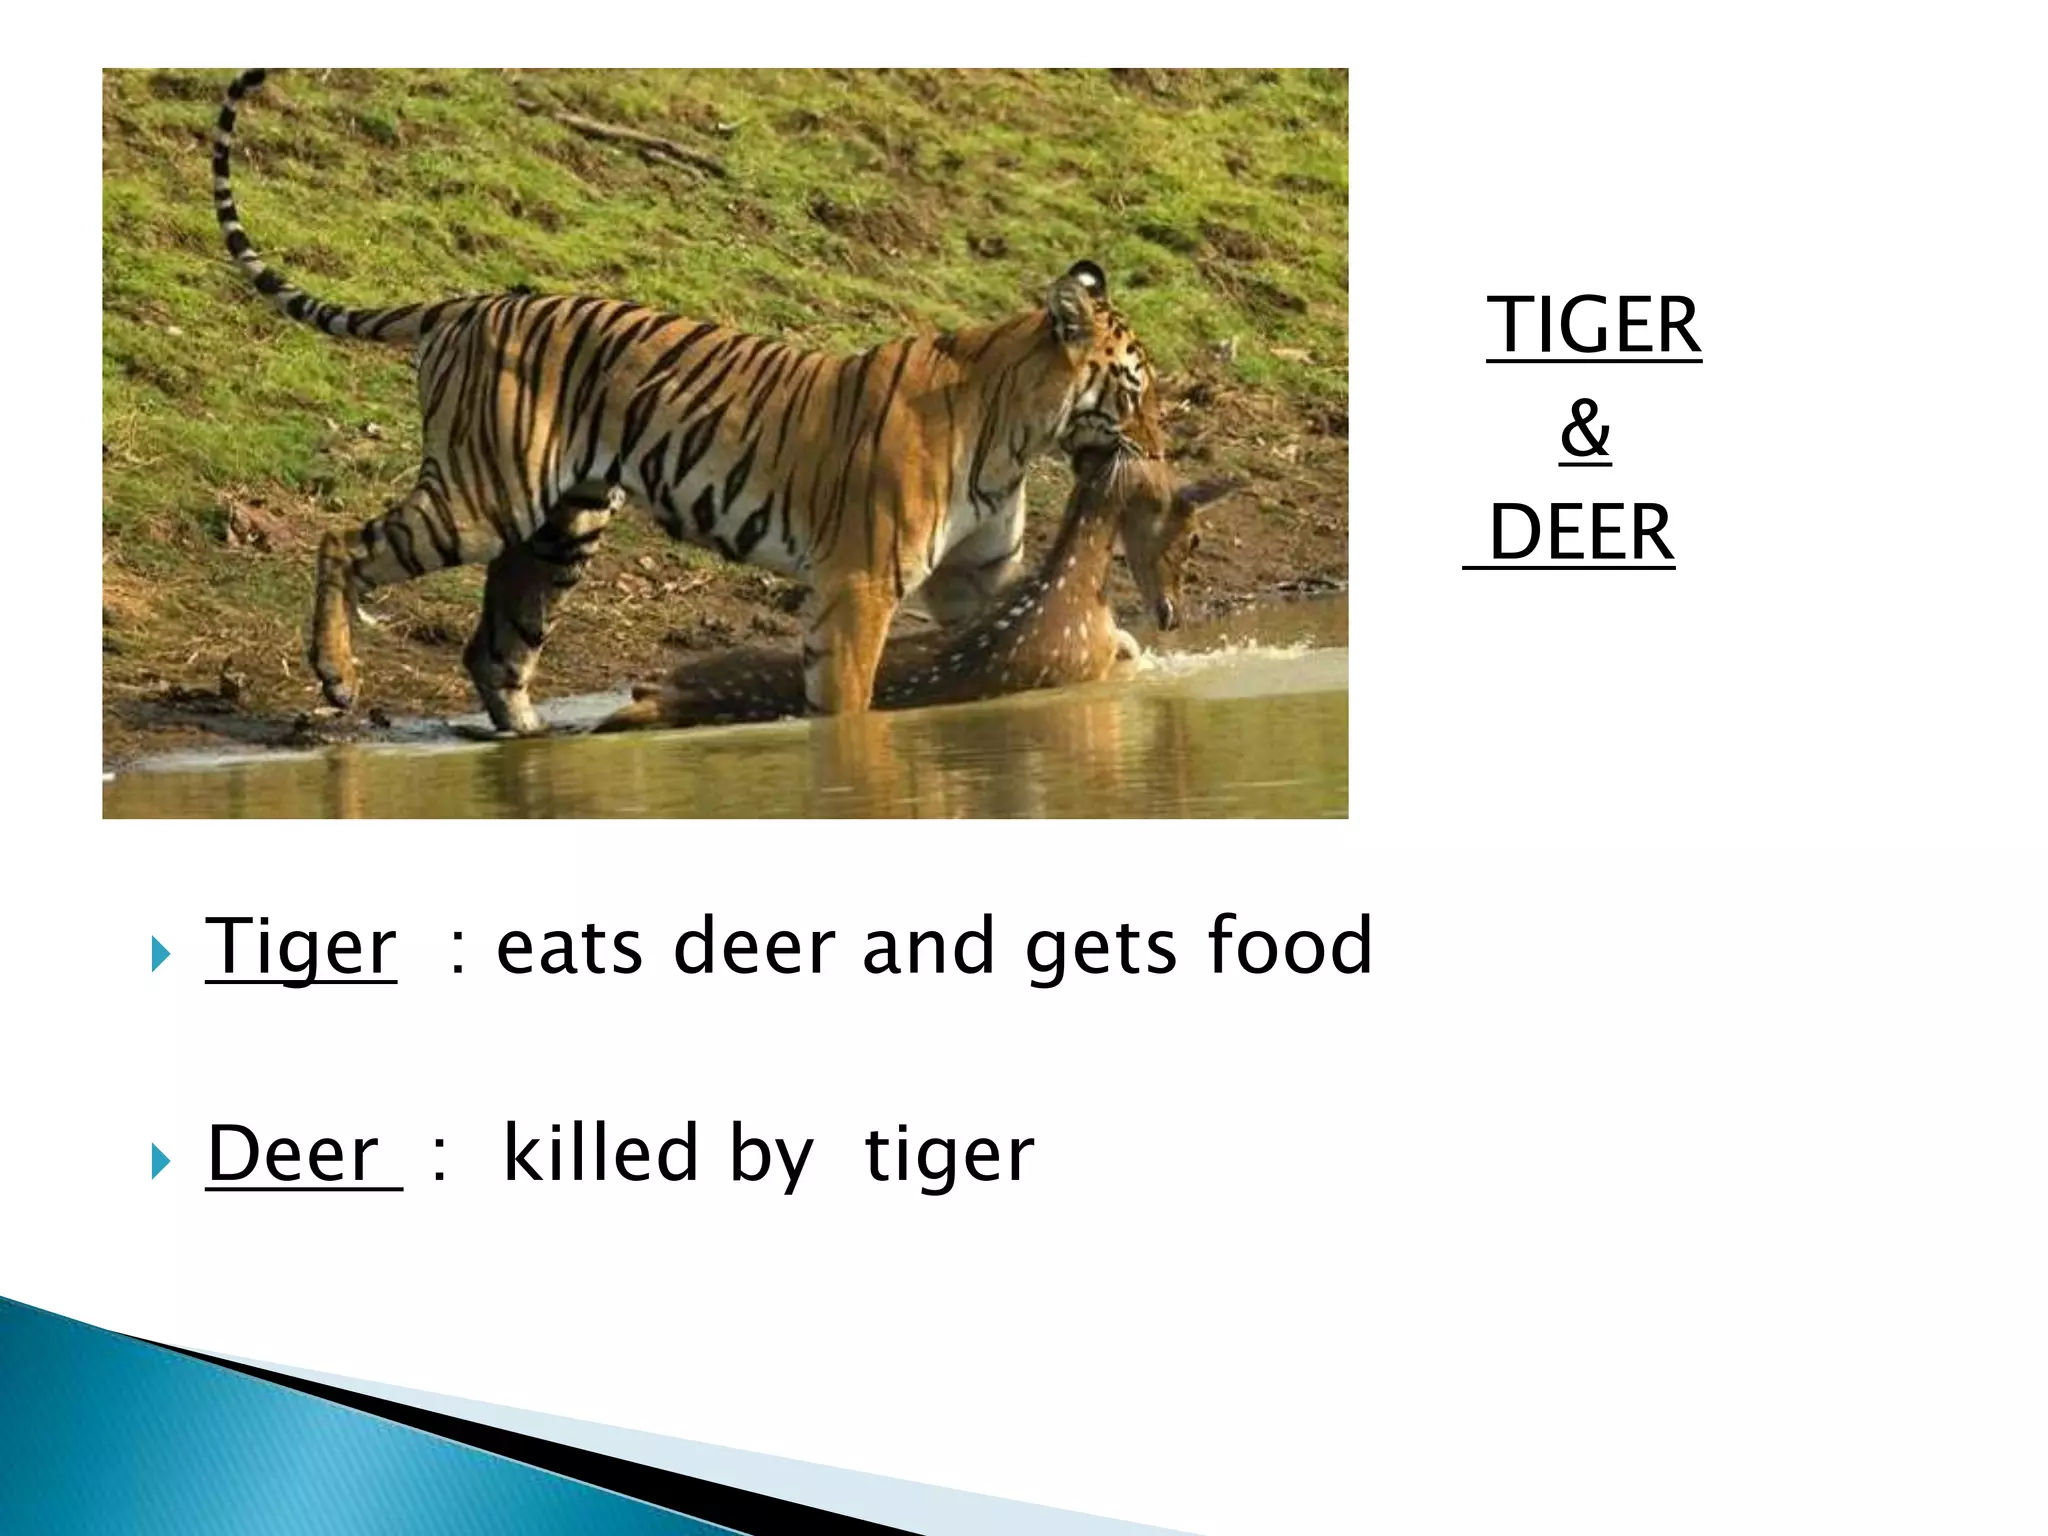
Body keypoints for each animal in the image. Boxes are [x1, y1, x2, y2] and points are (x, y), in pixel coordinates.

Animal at [209, 68, 1156, 730]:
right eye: (1136, 387)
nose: (1155, 444)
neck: (1017, 434)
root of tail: (465, 302)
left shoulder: (975, 580)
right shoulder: (856, 586)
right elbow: (847, 704)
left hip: (561, 525)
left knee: (496, 647)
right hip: (482, 498)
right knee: (342, 544)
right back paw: (337, 674)